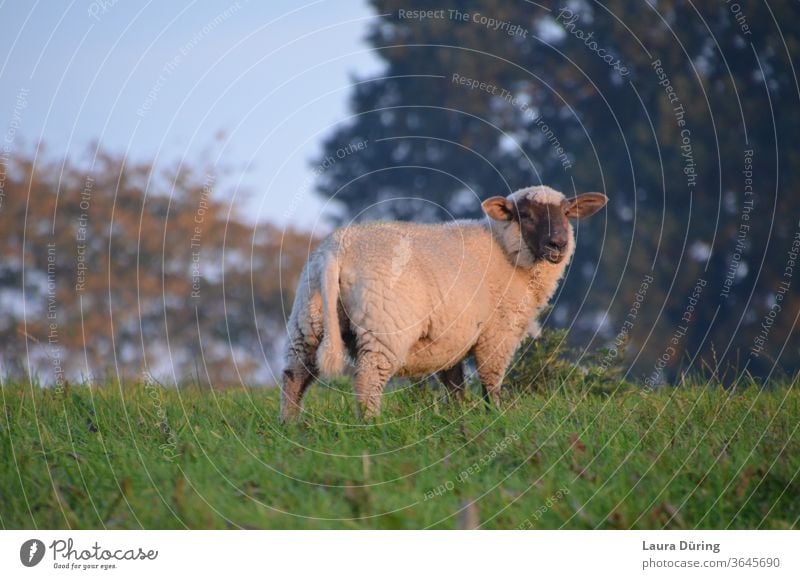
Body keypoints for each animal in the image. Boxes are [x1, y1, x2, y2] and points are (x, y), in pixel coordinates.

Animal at [282, 186, 608, 422]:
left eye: (566, 213)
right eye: (525, 214)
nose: (558, 244)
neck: (506, 252)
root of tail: (337, 251)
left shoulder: (452, 338)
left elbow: (455, 384)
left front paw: (458, 417)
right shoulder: (498, 334)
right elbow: (491, 381)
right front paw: (495, 416)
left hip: (307, 319)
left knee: (294, 375)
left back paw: (291, 427)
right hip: (384, 327)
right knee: (367, 379)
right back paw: (370, 425)